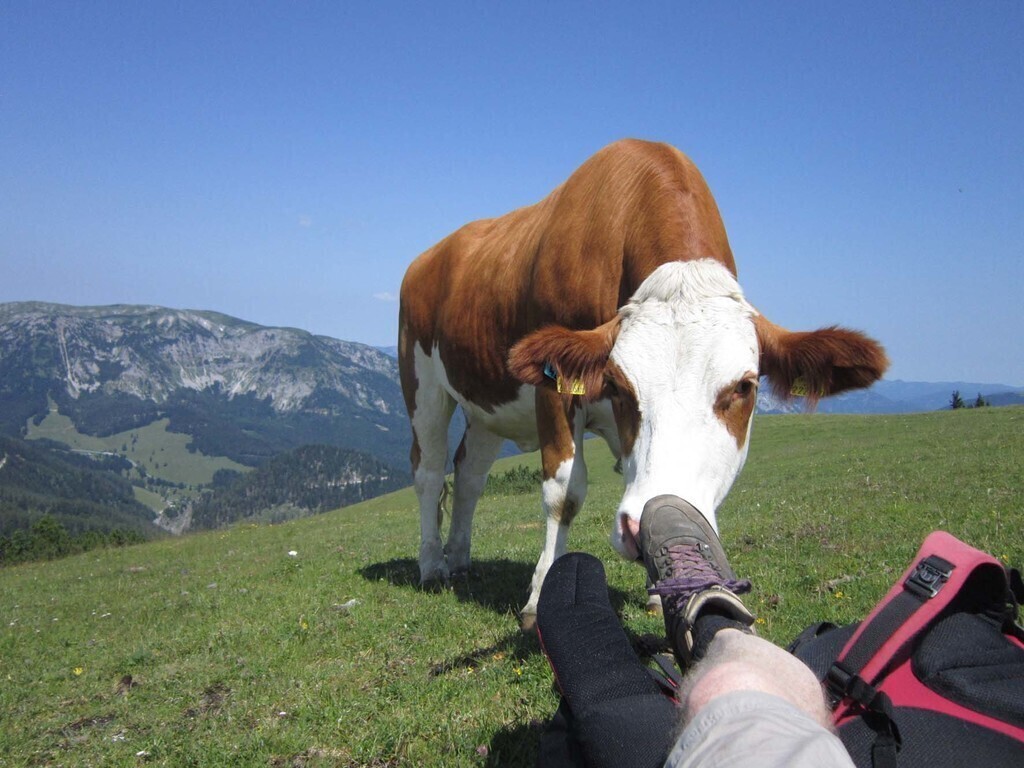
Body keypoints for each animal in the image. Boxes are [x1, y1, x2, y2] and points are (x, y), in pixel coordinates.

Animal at [398, 139, 887, 628]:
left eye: (744, 387)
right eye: (617, 384)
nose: (638, 530)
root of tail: (431, 255)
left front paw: (661, 587)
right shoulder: (554, 391)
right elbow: (564, 492)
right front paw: (540, 597)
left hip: (484, 405)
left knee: (469, 472)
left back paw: (459, 558)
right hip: (421, 382)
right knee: (429, 470)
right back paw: (433, 564)